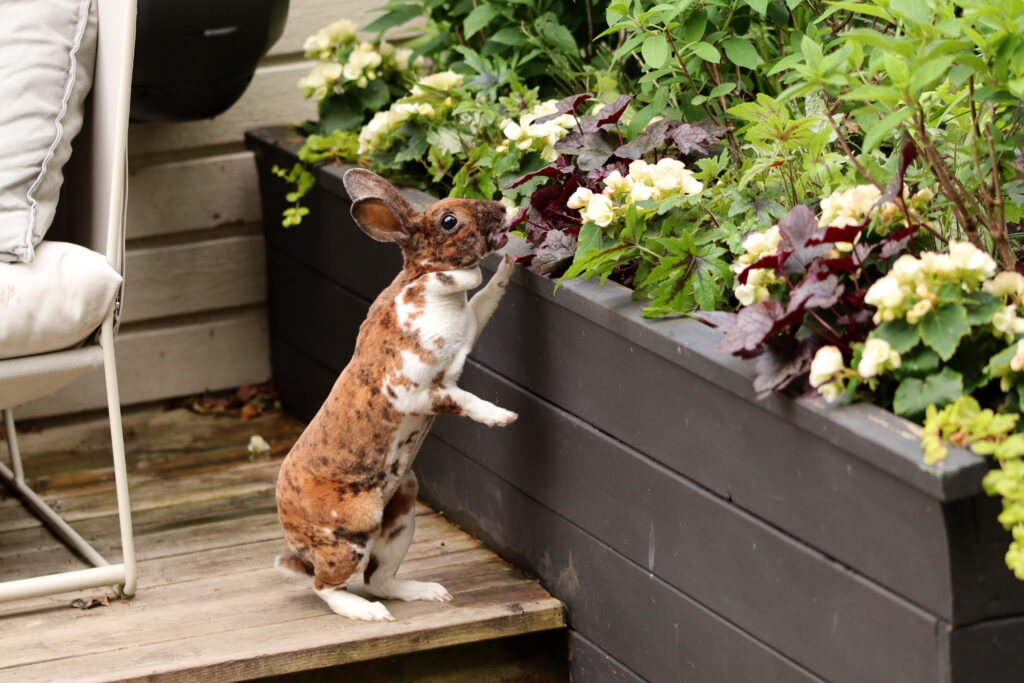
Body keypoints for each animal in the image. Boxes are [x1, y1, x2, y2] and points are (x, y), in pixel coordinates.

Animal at [276, 167, 516, 622]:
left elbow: (487, 297)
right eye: (449, 221)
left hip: (401, 512)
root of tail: (295, 537)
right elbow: (462, 399)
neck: (424, 282)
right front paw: (502, 417)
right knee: (327, 587)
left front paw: (511, 264)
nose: (501, 208)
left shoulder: (470, 326)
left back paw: (428, 592)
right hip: (353, 531)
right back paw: (367, 613)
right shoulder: (415, 391)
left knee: (379, 579)